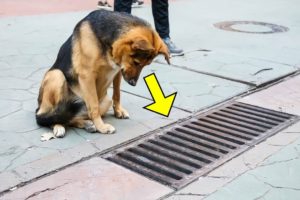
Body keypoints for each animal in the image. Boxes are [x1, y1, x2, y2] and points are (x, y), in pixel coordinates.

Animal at [35, 9, 169, 138]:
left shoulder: (118, 72)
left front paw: (118, 111)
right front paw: (101, 127)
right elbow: (94, 106)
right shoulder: (87, 75)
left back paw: (87, 124)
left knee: (72, 118)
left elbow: (117, 94)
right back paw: (59, 126)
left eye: (146, 65)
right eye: (136, 62)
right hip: (56, 75)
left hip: (105, 102)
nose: (133, 83)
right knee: (49, 117)